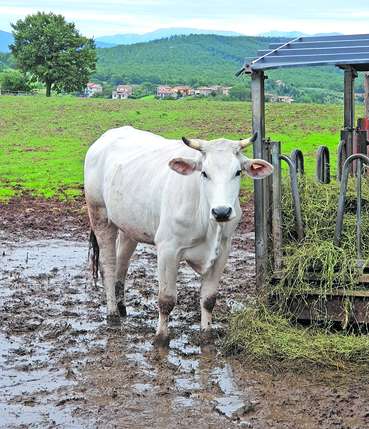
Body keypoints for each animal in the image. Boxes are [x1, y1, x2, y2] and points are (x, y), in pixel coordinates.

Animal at [85, 126, 272, 344]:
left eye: (238, 172)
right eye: (204, 173)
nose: (222, 211)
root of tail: (107, 136)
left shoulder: (223, 251)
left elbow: (209, 299)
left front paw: (206, 335)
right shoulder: (168, 249)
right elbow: (166, 300)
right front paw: (161, 339)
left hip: (129, 226)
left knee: (122, 262)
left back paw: (122, 307)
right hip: (100, 216)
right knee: (108, 265)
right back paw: (113, 313)